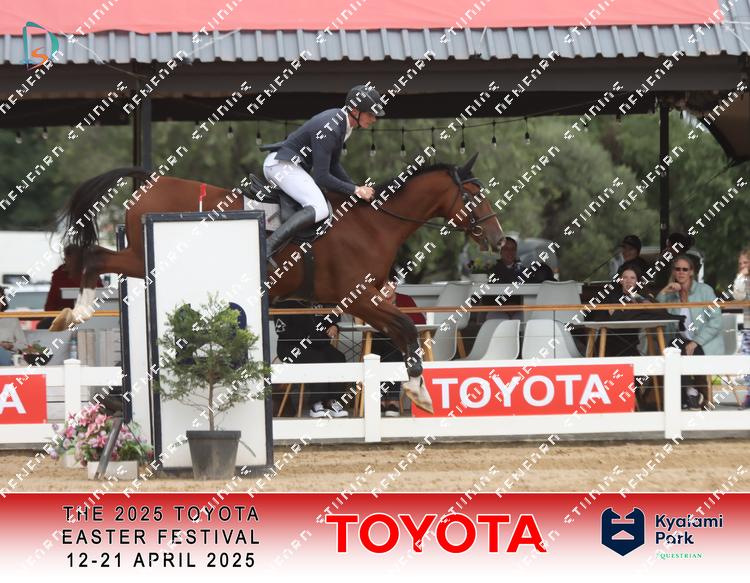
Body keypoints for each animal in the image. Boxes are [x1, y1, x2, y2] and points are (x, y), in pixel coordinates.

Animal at [56, 153, 505, 413]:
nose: (498, 240)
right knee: (93, 257)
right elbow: (407, 327)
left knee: (96, 257)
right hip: (144, 258)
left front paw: (416, 390)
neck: (374, 223)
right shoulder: (358, 298)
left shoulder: (365, 301)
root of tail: (152, 179)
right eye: (473, 197)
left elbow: (402, 331)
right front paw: (419, 391)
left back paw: (73, 313)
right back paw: (75, 311)